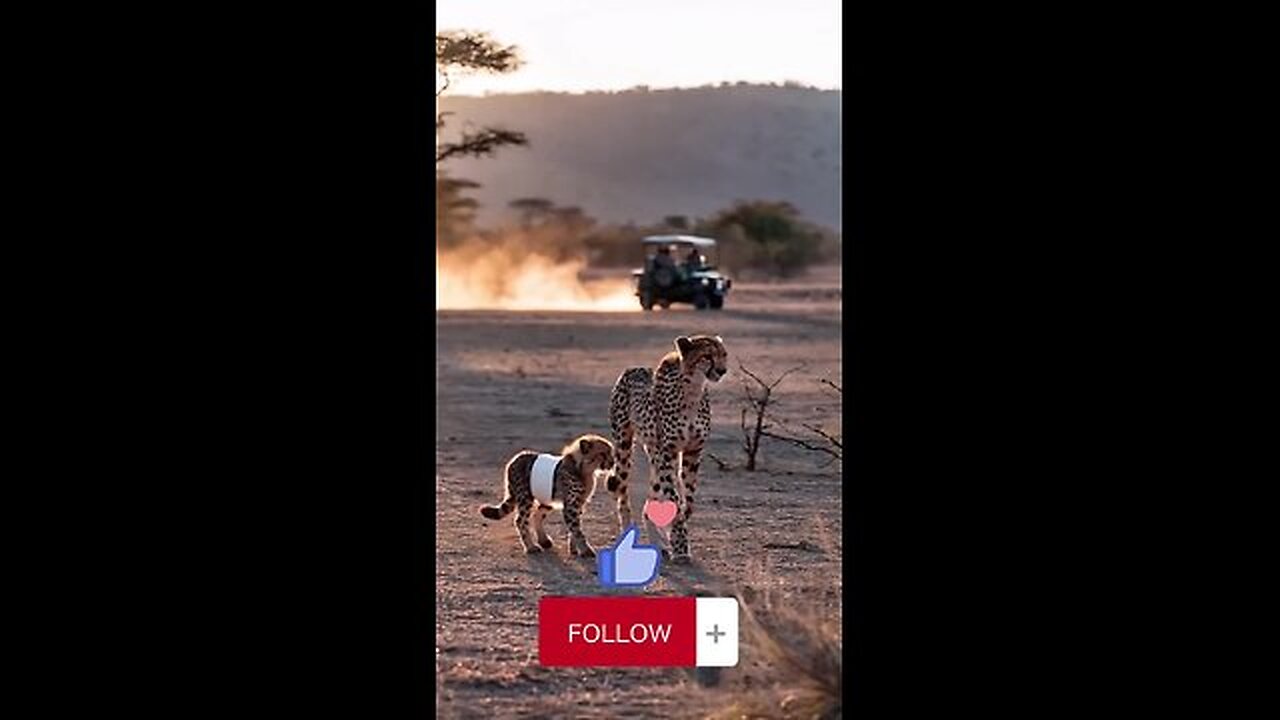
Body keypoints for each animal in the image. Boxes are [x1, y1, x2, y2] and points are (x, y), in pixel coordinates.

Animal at [481, 430, 616, 556]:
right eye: (603, 453)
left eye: (611, 452)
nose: (613, 462)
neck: (582, 469)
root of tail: (516, 458)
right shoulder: (571, 505)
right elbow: (577, 530)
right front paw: (586, 550)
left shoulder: (578, 504)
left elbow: (574, 528)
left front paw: (574, 549)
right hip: (525, 497)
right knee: (521, 520)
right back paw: (531, 547)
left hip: (546, 497)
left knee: (537, 514)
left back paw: (543, 541)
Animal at [604, 333, 727, 561]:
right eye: (707, 356)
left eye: (724, 355)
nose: (723, 370)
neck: (693, 390)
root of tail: (633, 368)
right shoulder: (668, 452)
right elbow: (674, 498)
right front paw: (680, 543)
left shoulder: (692, 452)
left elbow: (688, 497)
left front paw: (679, 527)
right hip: (625, 446)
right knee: (622, 495)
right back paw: (627, 533)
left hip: (654, 453)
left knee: (650, 499)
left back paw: (659, 545)